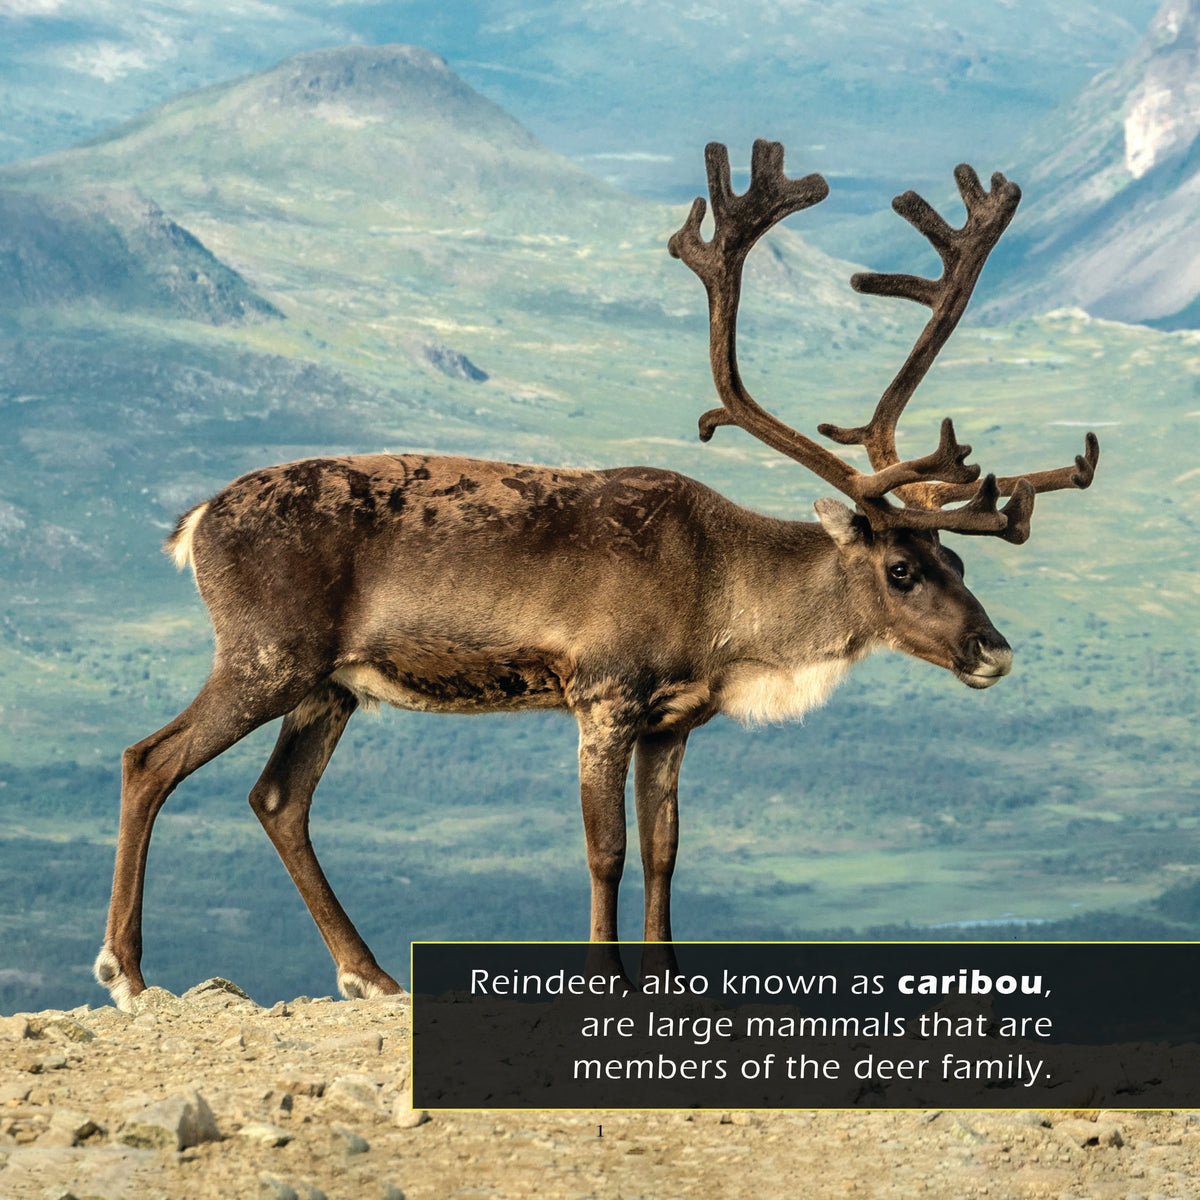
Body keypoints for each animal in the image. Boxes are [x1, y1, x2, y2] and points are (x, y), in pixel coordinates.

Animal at [94, 139, 1099, 1009]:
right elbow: (605, 850)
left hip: (331, 687)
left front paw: (669, 977)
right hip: (267, 656)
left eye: (956, 556)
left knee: (278, 799)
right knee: (150, 758)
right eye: (900, 568)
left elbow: (664, 852)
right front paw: (604, 976)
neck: (722, 597)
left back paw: (369, 975)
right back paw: (128, 974)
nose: (995, 650)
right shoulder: (603, 696)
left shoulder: (674, 723)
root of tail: (197, 520)